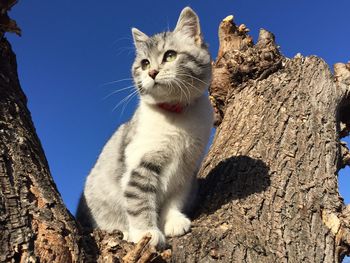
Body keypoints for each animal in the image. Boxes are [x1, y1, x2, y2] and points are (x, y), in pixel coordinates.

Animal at [76, 7, 213, 249]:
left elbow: (176, 198)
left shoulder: (187, 169)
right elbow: (139, 200)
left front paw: (174, 221)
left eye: (170, 55)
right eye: (145, 64)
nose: (152, 73)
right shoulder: (140, 164)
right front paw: (146, 233)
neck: (176, 115)